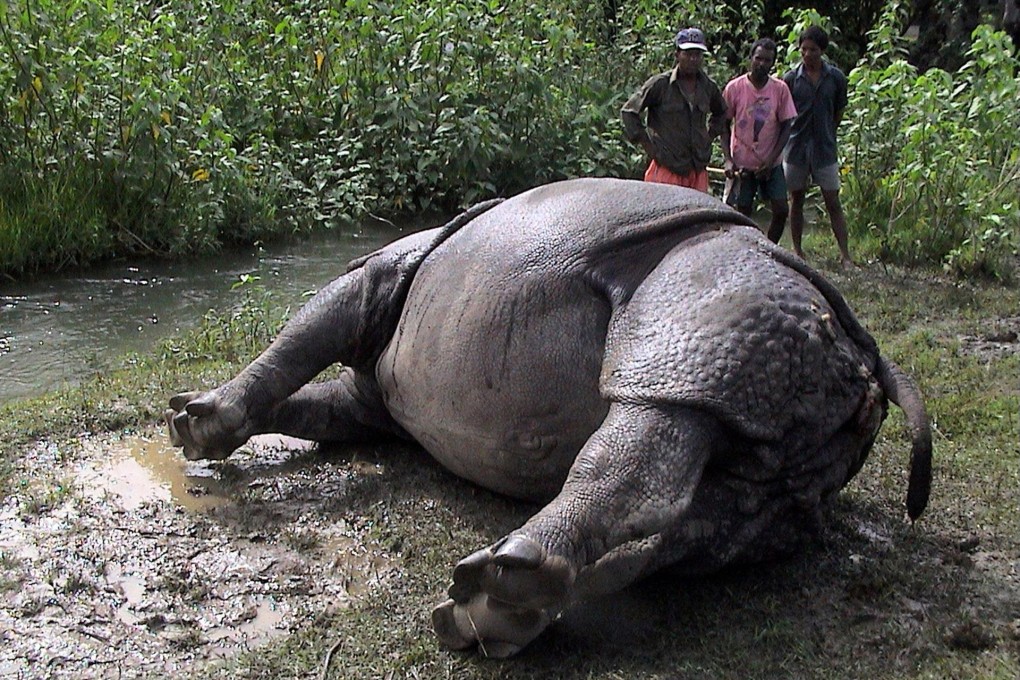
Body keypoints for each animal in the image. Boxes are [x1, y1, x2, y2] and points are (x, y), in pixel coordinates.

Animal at [165, 178, 931, 658]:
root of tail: (864, 357)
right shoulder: (371, 407)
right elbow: (312, 399)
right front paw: (193, 416)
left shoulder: (377, 276)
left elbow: (302, 334)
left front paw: (194, 422)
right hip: (781, 372)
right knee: (727, 511)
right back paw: (498, 612)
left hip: (718, 294)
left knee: (657, 407)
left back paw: (491, 594)